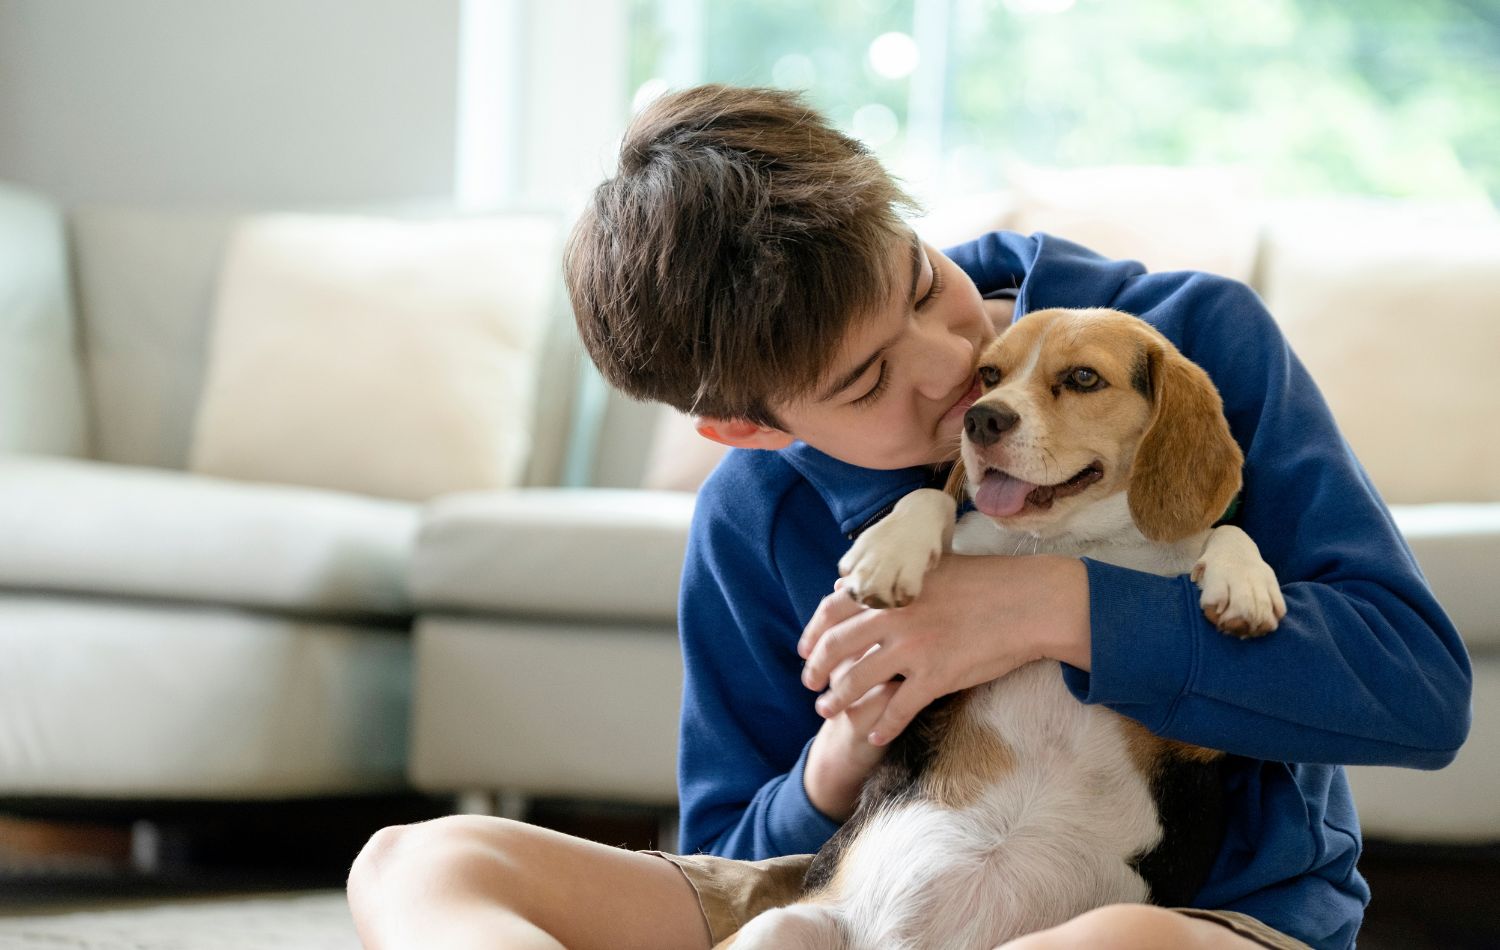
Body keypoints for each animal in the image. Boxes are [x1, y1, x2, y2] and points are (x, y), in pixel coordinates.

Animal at [726, 307, 1290, 942]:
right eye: (988, 374)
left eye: (1084, 378)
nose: (980, 418)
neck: (1074, 542)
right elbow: (933, 499)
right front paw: (890, 549)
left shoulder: (1192, 741)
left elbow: (1227, 531)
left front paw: (1245, 583)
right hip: (777, 928)